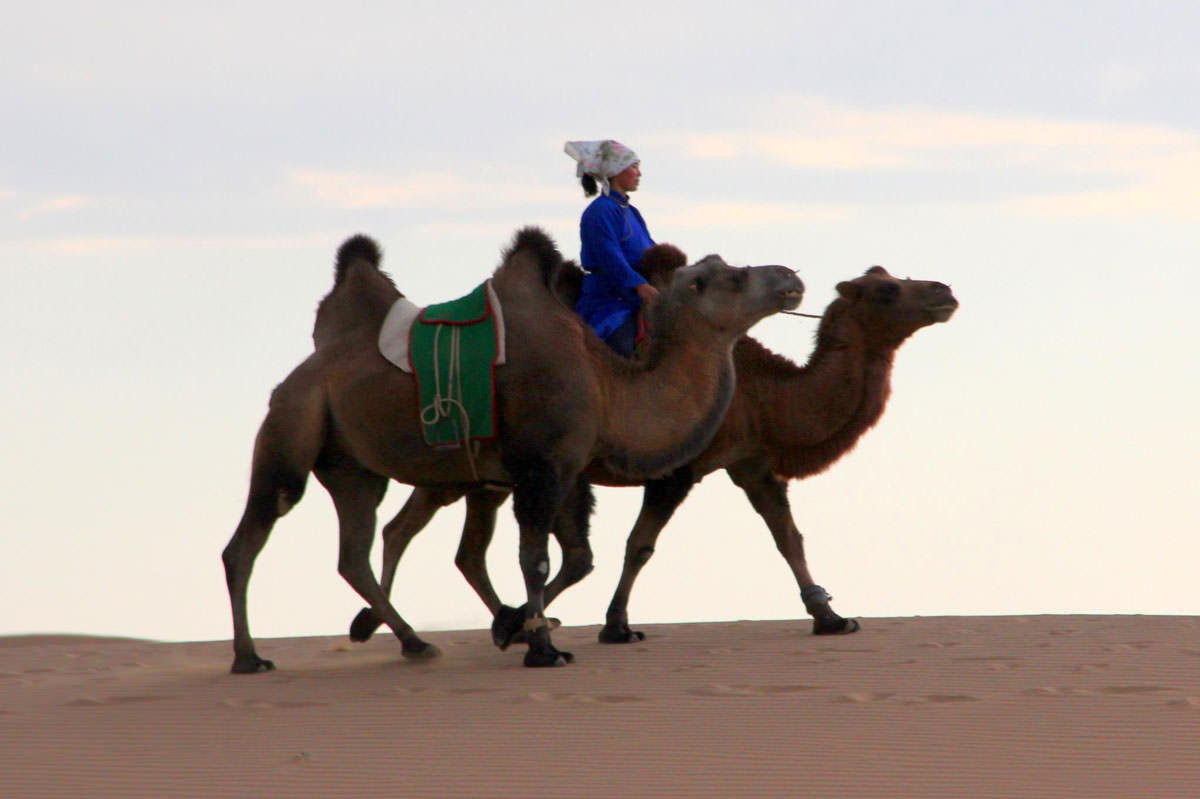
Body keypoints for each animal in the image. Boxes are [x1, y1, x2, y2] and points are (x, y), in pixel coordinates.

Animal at [220, 226, 801, 667]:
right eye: (733, 276)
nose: (790, 277)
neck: (607, 382)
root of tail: (293, 379)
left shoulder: (560, 468)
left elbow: (570, 558)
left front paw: (516, 627)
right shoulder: (544, 465)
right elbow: (536, 559)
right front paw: (542, 648)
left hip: (354, 467)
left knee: (355, 554)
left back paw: (414, 641)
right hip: (291, 427)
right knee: (251, 537)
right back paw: (250, 658)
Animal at [348, 255, 955, 647]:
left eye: (893, 277)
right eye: (886, 292)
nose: (944, 293)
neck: (762, 391)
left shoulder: (752, 463)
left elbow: (788, 538)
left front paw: (830, 616)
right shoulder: (676, 469)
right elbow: (634, 547)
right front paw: (612, 625)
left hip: (481, 475)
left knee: (443, 543)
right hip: (463, 464)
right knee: (412, 531)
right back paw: (393, 625)